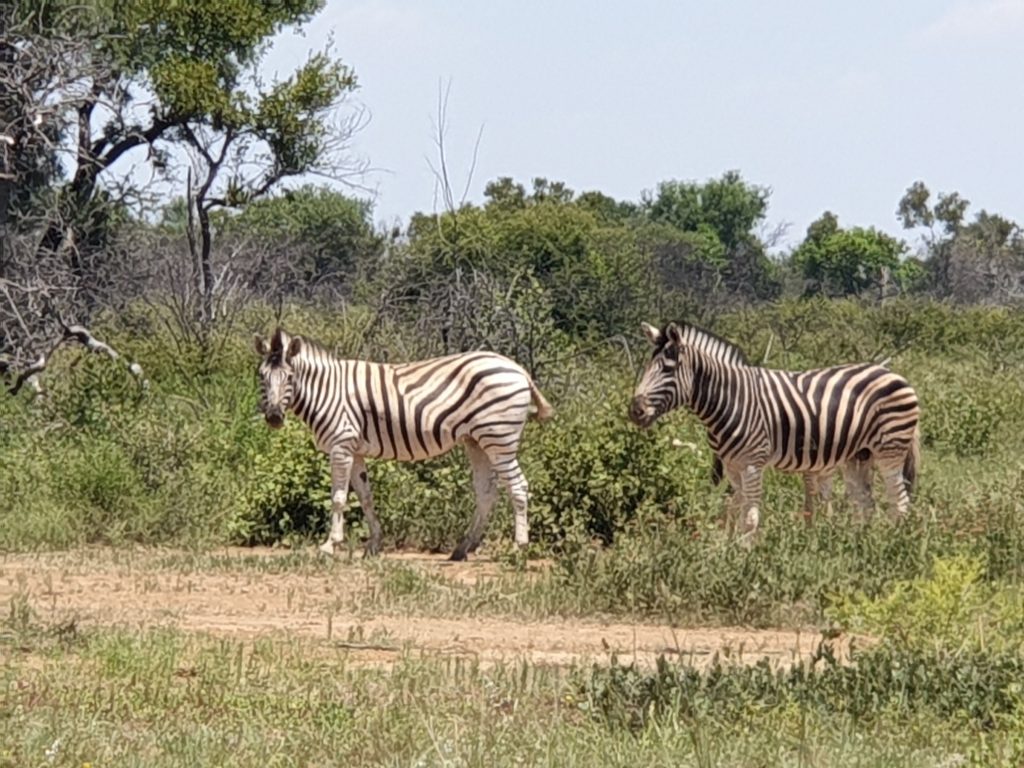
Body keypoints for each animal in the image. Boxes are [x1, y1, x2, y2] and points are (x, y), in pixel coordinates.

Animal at [252, 327, 552, 561]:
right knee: (486, 492)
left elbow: (338, 498)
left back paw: (518, 548)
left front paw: (329, 546)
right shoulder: (355, 450)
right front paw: (374, 545)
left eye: (290, 377)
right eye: (262, 376)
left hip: (499, 439)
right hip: (476, 441)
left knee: (518, 487)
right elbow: (366, 497)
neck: (327, 391)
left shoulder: (341, 446)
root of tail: (519, 369)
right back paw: (463, 548)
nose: (274, 417)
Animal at [626, 321, 925, 536]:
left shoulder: (752, 463)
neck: (730, 399)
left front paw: (746, 557)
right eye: (648, 366)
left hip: (890, 450)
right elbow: (735, 511)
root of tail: (896, 375)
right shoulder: (732, 466)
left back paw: (890, 544)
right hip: (859, 456)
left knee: (900, 501)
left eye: (667, 370)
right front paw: (728, 550)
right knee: (866, 504)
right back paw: (860, 544)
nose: (635, 410)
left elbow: (749, 517)